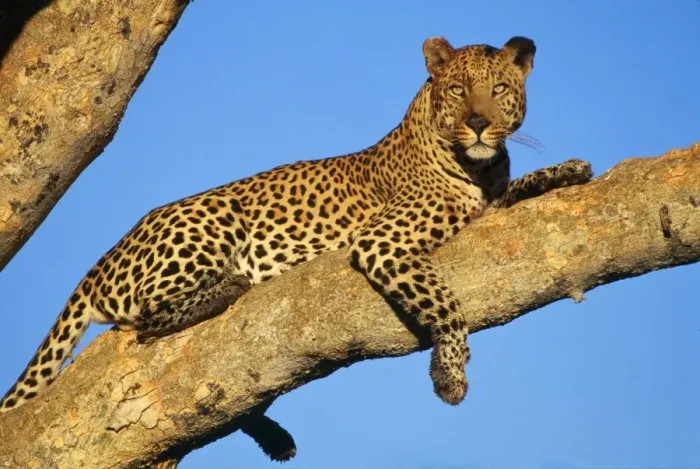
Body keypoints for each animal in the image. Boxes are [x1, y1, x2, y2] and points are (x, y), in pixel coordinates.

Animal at [0, 35, 592, 461]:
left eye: (499, 89)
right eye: (456, 90)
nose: (478, 123)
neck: (477, 166)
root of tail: (98, 264)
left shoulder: (490, 203)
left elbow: (521, 189)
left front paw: (567, 171)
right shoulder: (382, 241)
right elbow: (446, 304)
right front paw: (450, 375)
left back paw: (275, 436)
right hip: (211, 217)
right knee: (146, 319)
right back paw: (232, 285)